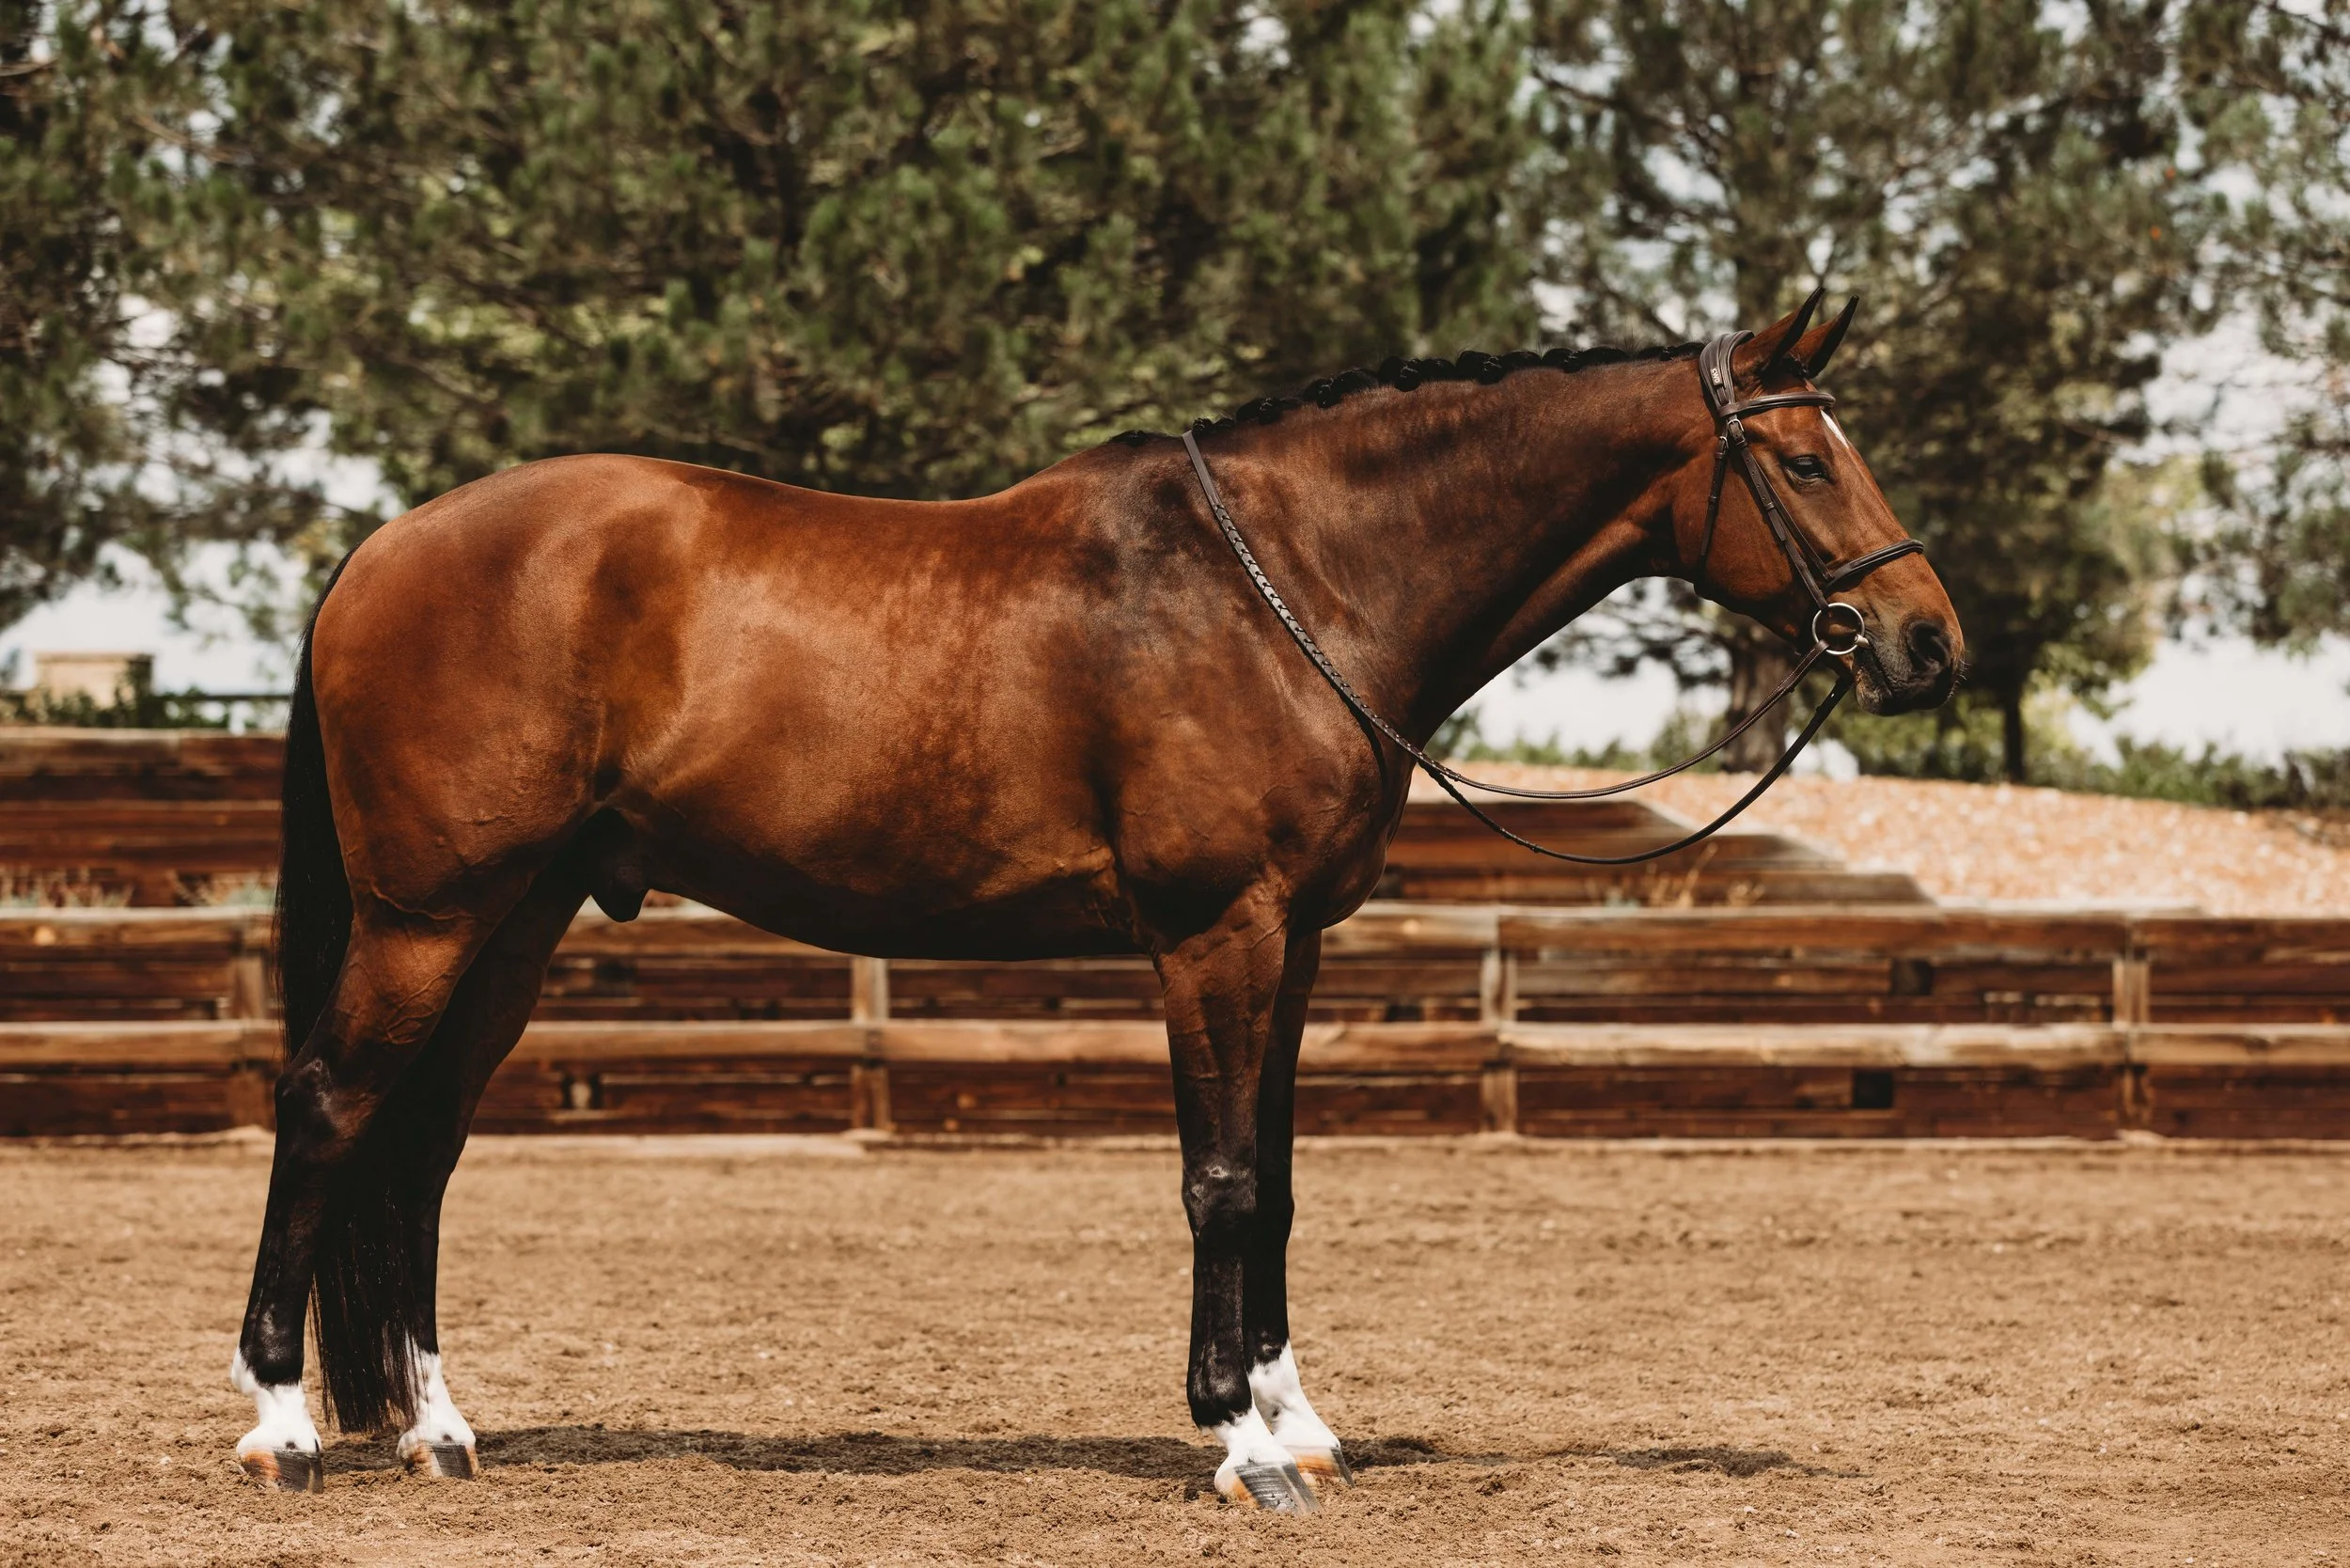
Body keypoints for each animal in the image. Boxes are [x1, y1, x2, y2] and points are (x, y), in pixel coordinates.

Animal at [229, 293, 1962, 1510]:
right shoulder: (1215, 937)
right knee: (327, 1110)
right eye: (1803, 458)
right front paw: (1237, 1444)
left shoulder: (1295, 947)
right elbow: (1220, 1182)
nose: (1927, 640)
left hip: (516, 922)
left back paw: (438, 1430)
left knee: (422, 1147)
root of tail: (380, 550)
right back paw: (282, 1427)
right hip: (428, 915)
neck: (1287, 585)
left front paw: (1298, 1421)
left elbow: (1280, 1184)